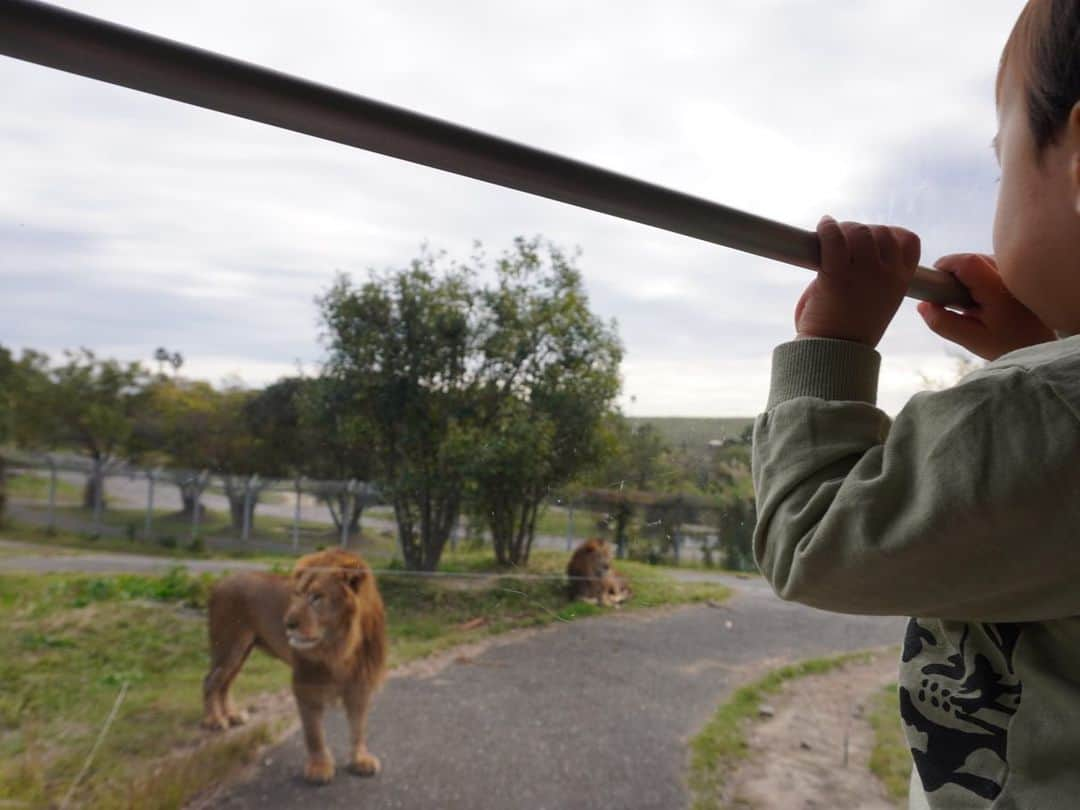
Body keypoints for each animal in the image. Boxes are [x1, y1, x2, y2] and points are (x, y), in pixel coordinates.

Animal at [203, 548, 388, 781]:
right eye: (297, 595)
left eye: (317, 597)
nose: (287, 624)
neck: (341, 646)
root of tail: (220, 582)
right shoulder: (306, 681)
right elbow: (314, 732)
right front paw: (319, 767)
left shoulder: (360, 683)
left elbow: (358, 728)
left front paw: (360, 760)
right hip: (229, 647)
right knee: (210, 681)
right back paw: (214, 721)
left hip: (241, 651)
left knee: (225, 683)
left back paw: (232, 716)